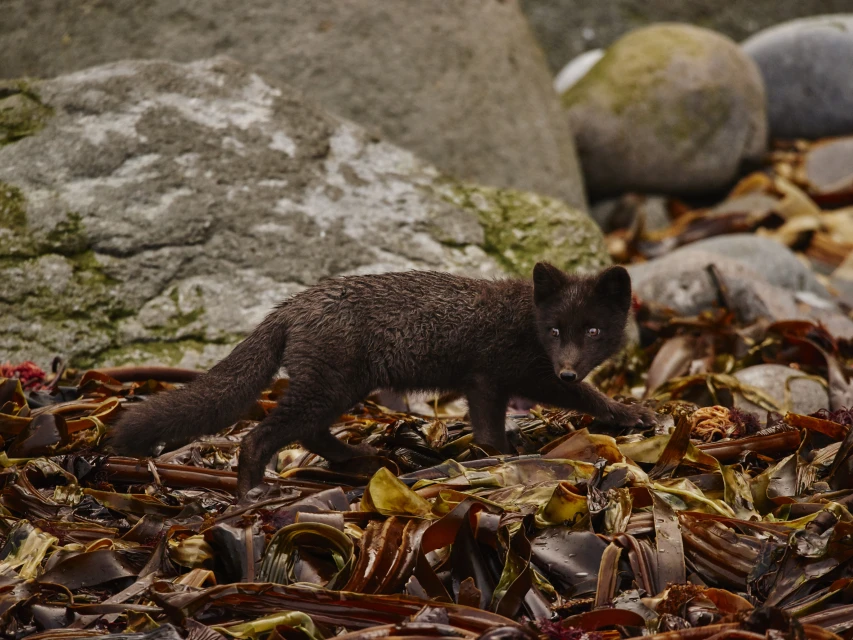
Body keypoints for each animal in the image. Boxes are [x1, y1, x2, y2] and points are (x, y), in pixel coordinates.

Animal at [105, 262, 655, 498]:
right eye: (556, 330)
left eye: (593, 330)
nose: (568, 365)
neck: (525, 319)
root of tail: (288, 307)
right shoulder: (494, 378)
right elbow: (576, 400)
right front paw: (632, 413)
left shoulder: (503, 382)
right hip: (328, 386)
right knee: (259, 437)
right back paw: (252, 492)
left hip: (341, 389)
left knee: (309, 434)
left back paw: (360, 457)